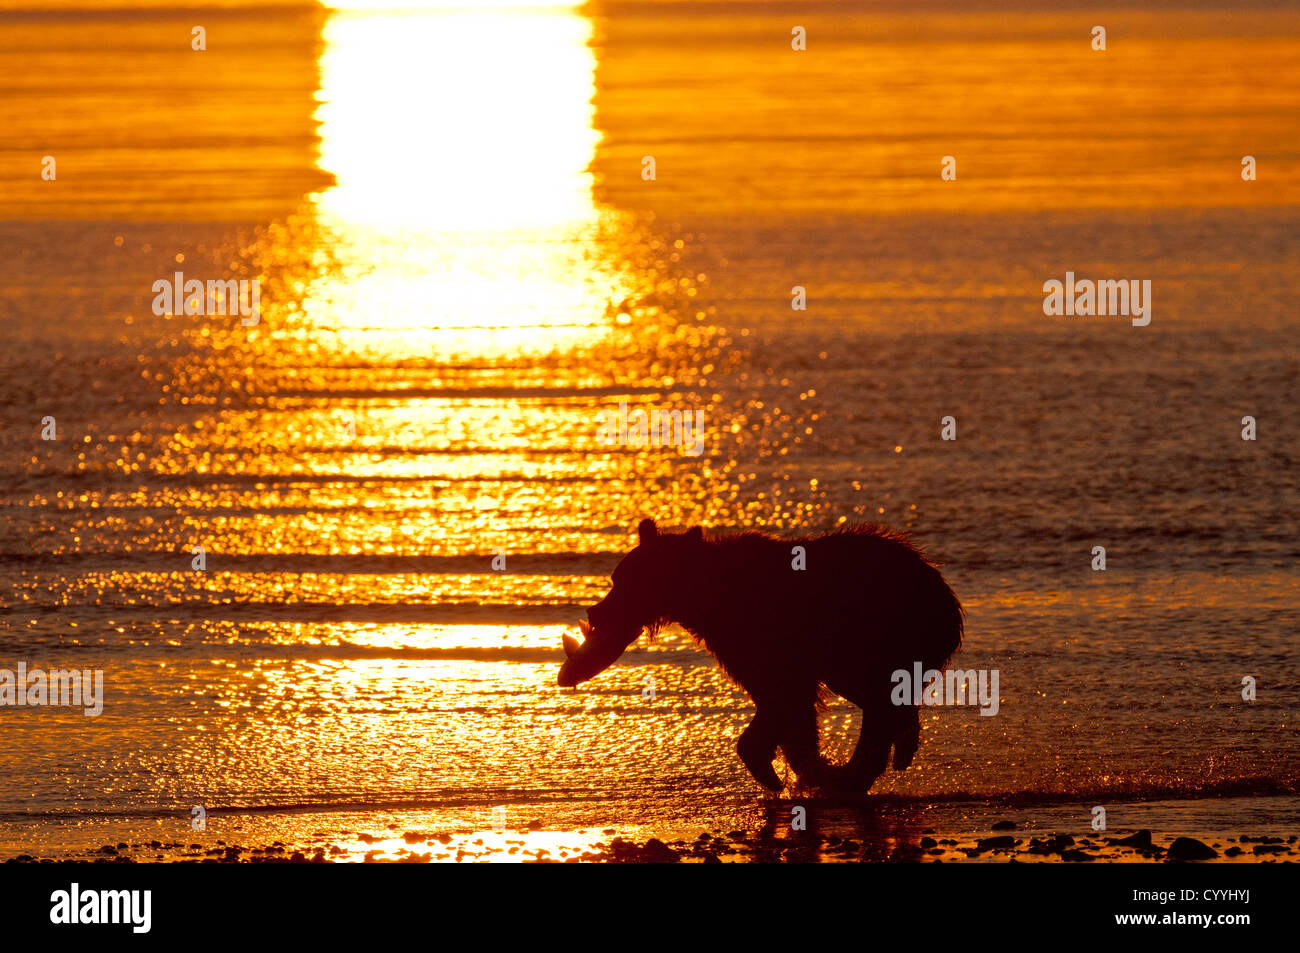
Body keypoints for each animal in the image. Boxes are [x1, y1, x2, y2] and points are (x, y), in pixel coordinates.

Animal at [559, 517, 967, 790]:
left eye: (623, 582)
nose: (596, 612)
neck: (706, 596)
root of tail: (942, 587)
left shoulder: (772, 640)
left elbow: (785, 698)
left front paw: (800, 771)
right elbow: (780, 705)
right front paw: (802, 767)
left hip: (876, 633)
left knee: (876, 698)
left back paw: (857, 771)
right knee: (885, 699)